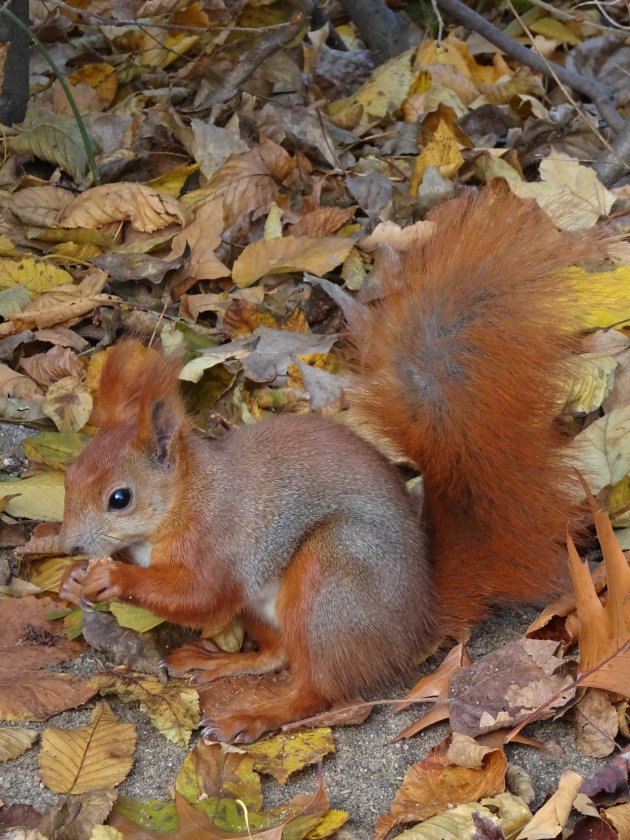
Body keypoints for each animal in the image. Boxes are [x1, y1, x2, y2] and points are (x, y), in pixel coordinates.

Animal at [58, 189, 604, 740]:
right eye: (70, 476)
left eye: (120, 498)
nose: (69, 546)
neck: (187, 497)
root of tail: (417, 622)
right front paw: (74, 580)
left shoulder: (219, 537)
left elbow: (202, 595)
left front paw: (114, 580)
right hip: (275, 608)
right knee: (277, 655)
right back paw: (221, 662)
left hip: (331, 579)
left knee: (315, 689)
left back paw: (255, 715)